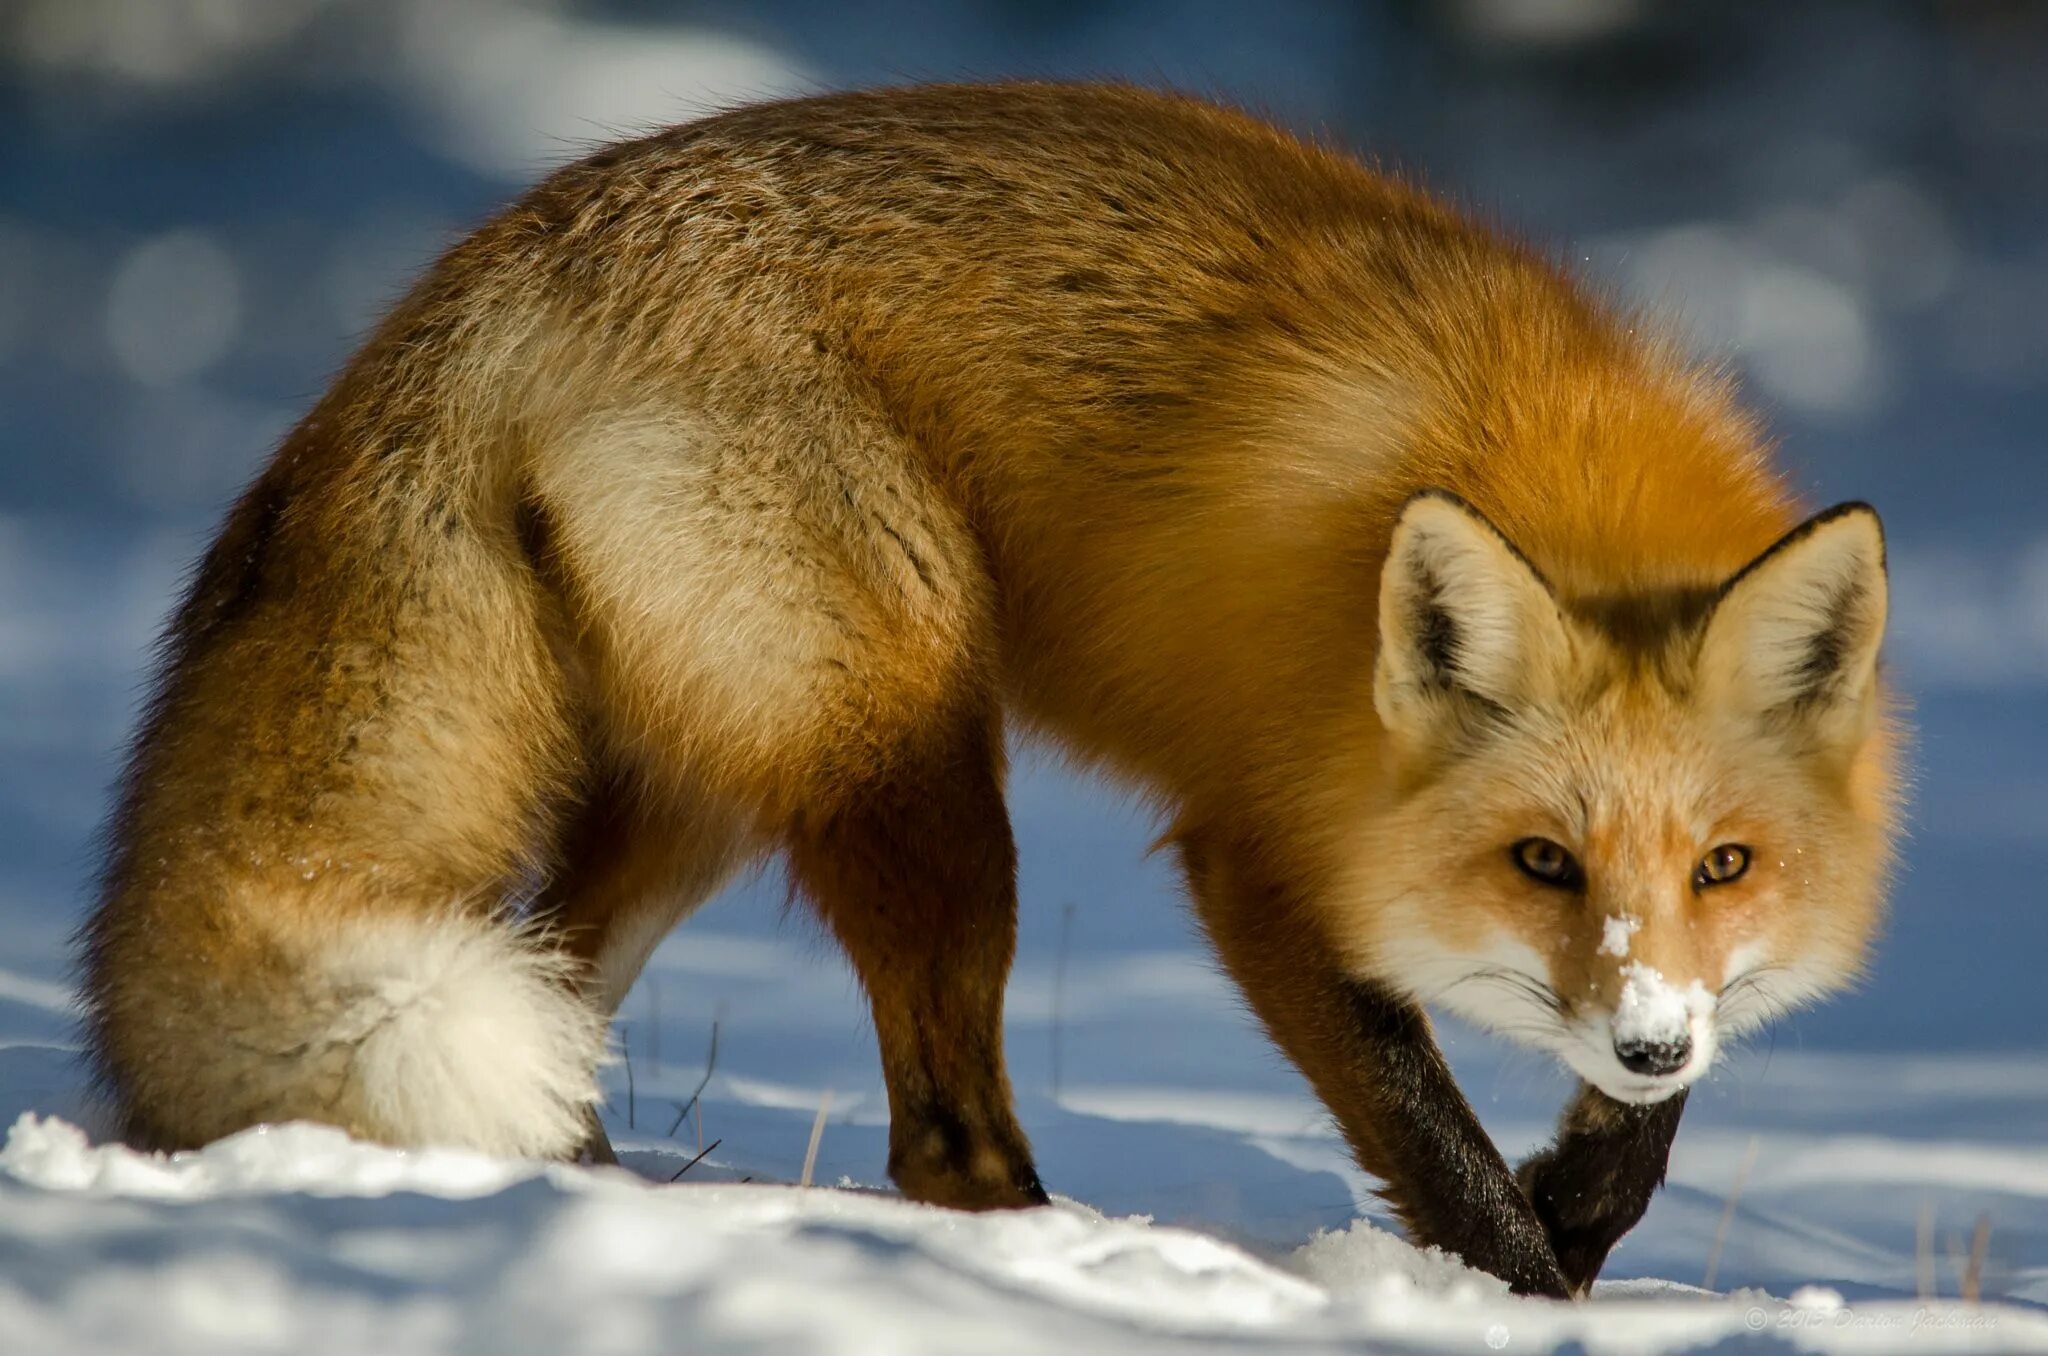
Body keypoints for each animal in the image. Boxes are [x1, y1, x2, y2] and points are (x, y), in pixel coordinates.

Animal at [83, 82, 1900, 1294]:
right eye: (1538, 862)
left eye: (1724, 867)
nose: (1649, 1040)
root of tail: (503, 263)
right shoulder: (1254, 859)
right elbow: (1430, 1140)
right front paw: (1522, 1281)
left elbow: (1636, 1136)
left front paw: (1591, 1195)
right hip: (919, 769)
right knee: (939, 1138)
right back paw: (1063, 1269)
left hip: (708, 793)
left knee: (561, 975)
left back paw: (582, 1207)